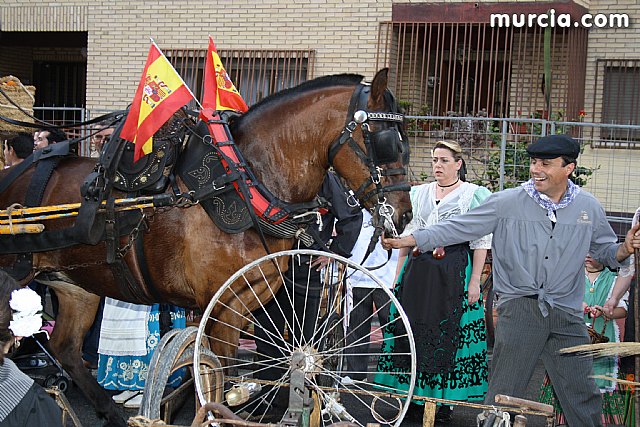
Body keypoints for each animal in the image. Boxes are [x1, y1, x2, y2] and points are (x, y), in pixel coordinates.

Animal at [0, 68, 410, 426]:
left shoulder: (238, 301)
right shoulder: (221, 303)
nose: (404, 214)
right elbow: (217, 373)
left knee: (66, 347)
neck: (244, 183)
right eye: (386, 140)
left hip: (76, 286)